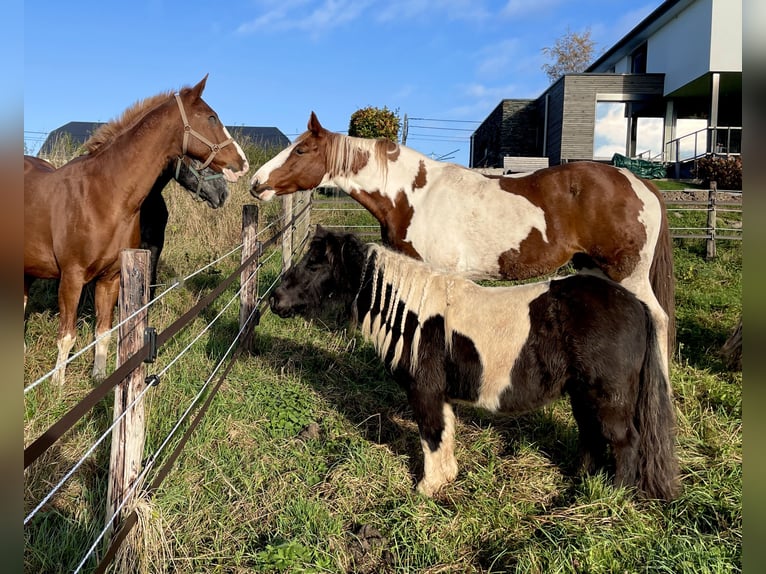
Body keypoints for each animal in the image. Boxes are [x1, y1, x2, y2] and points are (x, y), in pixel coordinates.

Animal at [24, 74, 249, 384]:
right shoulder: (71, 277)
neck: (102, 194)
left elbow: (104, 332)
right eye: (212, 118)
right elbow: (67, 336)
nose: (242, 164)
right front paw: (57, 385)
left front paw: (99, 378)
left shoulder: (110, 278)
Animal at [272, 227, 680, 502]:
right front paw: (446, 479)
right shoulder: (441, 395)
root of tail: (634, 304)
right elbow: (445, 434)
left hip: (608, 397)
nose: (275, 300)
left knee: (625, 441)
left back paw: (612, 498)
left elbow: (432, 435)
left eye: (315, 263)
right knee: (591, 436)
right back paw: (579, 486)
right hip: (583, 395)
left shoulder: (425, 391)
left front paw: (427, 488)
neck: (412, 315)